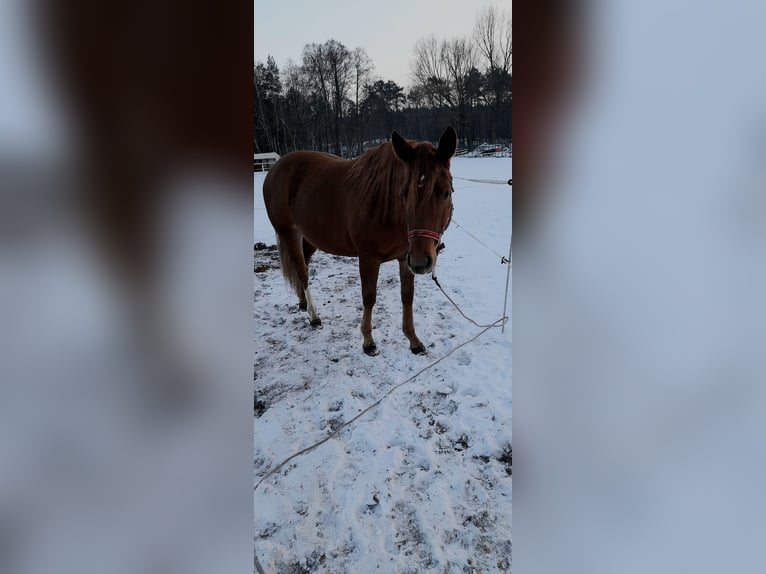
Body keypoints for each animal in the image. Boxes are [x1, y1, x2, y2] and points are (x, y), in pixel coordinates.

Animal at [262, 127, 457, 356]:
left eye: (446, 193)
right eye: (404, 194)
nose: (421, 263)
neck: (384, 206)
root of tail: (274, 169)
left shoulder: (404, 258)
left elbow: (407, 296)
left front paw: (413, 340)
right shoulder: (368, 258)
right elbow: (369, 297)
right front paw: (368, 341)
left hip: (309, 237)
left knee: (303, 265)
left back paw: (303, 304)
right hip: (288, 233)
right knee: (302, 271)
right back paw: (314, 316)